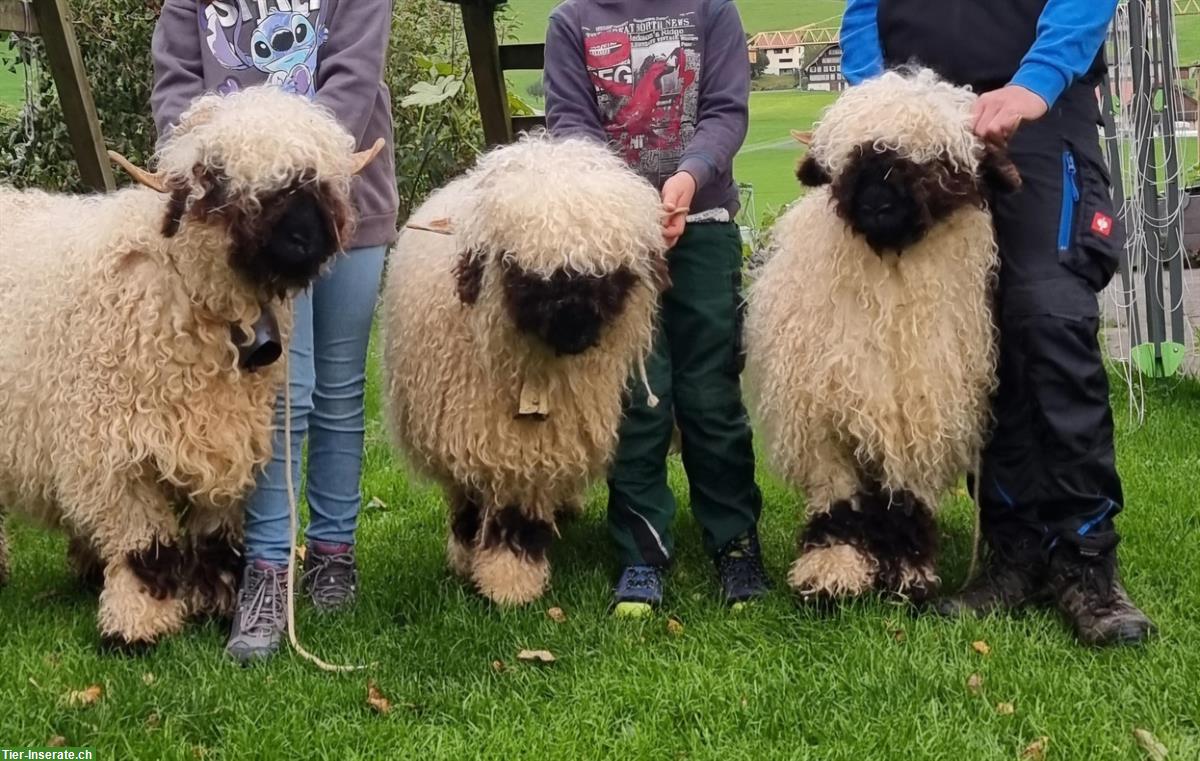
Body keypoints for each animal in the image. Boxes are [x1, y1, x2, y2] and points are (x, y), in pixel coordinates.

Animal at [0, 88, 379, 648]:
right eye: (216, 178)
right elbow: (145, 547)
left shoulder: (229, 437)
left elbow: (215, 536)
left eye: (320, 180)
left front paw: (220, 603)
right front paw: (138, 625)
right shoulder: (114, 453)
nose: (304, 240)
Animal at [381, 132, 667, 604]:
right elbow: (468, 498)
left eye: (610, 275)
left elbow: (518, 509)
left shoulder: (535, 441)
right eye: (518, 270)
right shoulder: (466, 429)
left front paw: (508, 579)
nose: (575, 327)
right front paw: (474, 560)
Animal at [744, 69, 1017, 604]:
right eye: (846, 159)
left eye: (940, 161)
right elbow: (836, 503)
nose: (877, 198)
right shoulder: (823, 425)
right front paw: (831, 573)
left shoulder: (921, 416)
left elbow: (906, 503)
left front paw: (908, 576)